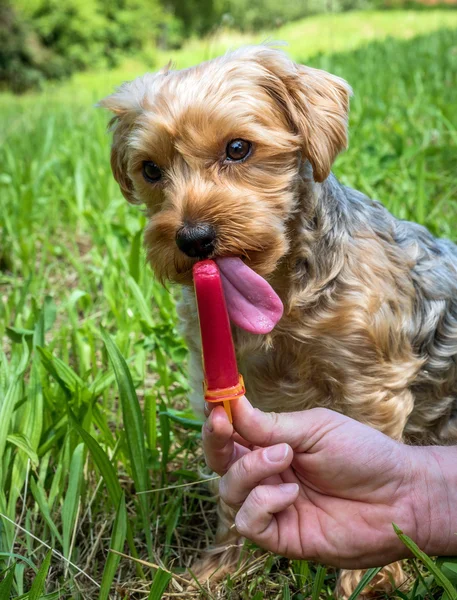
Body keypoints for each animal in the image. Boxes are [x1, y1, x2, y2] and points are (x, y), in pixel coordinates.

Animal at [100, 45, 456, 596]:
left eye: (238, 148)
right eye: (151, 170)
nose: (193, 238)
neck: (283, 291)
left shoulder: (370, 384)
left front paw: (368, 578)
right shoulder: (222, 381)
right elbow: (233, 489)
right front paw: (220, 567)